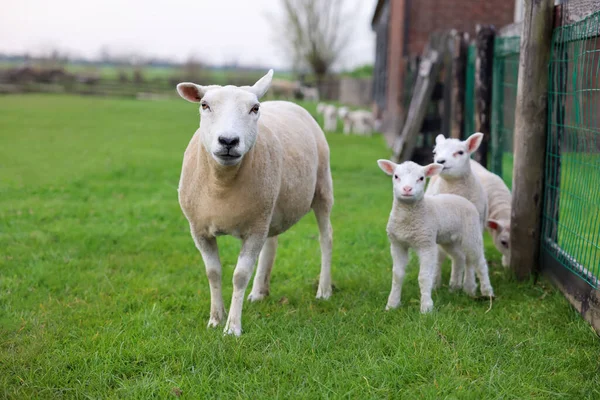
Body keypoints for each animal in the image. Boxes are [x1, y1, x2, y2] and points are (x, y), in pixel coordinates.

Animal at [176, 70, 336, 336]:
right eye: (204, 105)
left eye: (255, 108)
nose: (228, 141)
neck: (222, 184)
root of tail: (287, 102)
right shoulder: (199, 230)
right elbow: (213, 273)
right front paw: (215, 319)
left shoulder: (254, 228)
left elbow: (240, 275)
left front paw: (232, 327)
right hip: (271, 208)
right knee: (271, 244)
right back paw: (259, 292)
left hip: (322, 188)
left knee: (326, 238)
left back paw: (324, 290)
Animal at [378, 159, 494, 312]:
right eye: (396, 176)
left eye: (421, 178)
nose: (407, 189)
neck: (408, 222)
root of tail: (462, 198)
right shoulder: (397, 244)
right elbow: (397, 275)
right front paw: (392, 305)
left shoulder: (426, 244)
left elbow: (424, 277)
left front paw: (426, 307)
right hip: (448, 239)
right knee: (459, 257)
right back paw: (454, 287)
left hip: (472, 234)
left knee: (480, 262)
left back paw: (487, 291)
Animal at [424, 133, 490, 296]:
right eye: (435, 152)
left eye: (460, 152)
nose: (440, 161)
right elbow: (439, 257)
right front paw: (436, 283)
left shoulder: (475, 227)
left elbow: (469, 260)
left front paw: (469, 286)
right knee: (446, 256)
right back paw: (442, 282)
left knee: (461, 256)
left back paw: (456, 283)